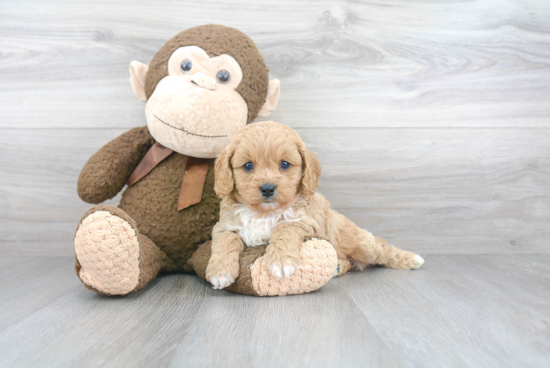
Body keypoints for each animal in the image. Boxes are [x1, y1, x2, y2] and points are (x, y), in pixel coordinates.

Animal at [207, 122, 426, 288]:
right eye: (248, 166)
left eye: (285, 164)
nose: (268, 188)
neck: (264, 213)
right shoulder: (225, 226)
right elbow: (225, 242)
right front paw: (220, 271)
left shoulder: (305, 222)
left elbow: (284, 228)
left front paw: (281, 261)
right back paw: (338, 266)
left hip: (361, 244)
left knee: (382, 248)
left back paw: (411, 259)